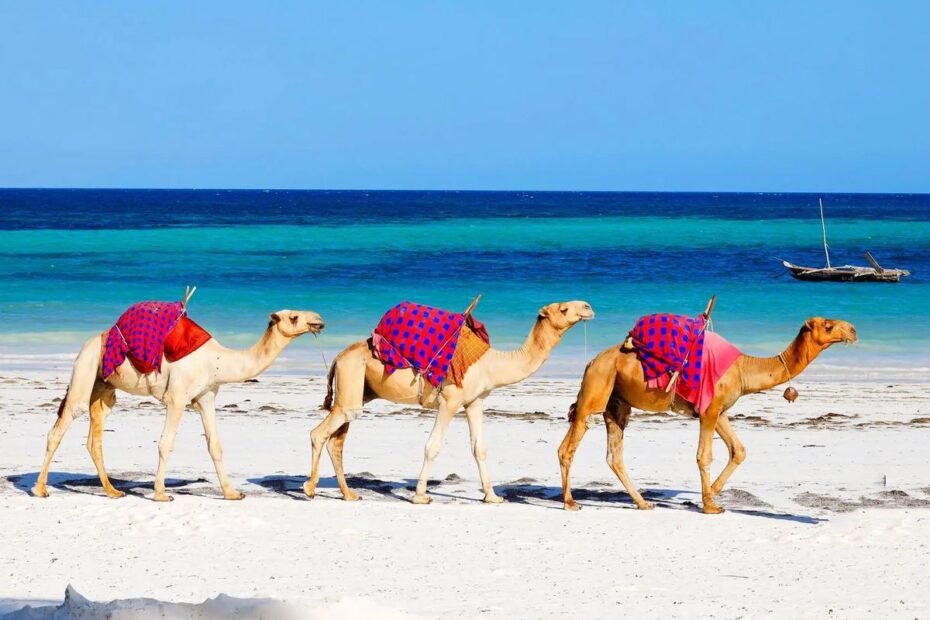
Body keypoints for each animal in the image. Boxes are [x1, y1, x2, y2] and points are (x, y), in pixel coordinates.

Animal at [32, 309, 324, 501]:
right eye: (294, 317)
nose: (319, 320)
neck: (217, 360)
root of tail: (90, 341)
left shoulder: (206, 397)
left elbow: (215, 446)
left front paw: (232, 493)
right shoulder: (177, 398)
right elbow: (165, 443)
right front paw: (161, 494)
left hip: (103, 386)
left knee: (95, 438)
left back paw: (112, 491)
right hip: (86, 368)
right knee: (62, 424)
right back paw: (40, 489)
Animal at [305, 300, 595, 504]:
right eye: (564, 308)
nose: (588, 307)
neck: (491, 364)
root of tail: (338, 357)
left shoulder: (475, 402)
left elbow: (479, 448)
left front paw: (492, 496)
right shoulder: (450, 400)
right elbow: (432, 446)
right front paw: (420, 495)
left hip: (357, 391)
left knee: (336, 441)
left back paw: (348, 494)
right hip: (351, 382)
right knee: (319, 433)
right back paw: (309, 488)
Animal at [558, 316, 857, 514]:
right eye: (828, 326)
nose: (853, 330)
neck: (744, 369)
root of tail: (590, 361)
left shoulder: (720, 410)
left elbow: (739, 450)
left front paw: (707, 495)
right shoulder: (709, 411)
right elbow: (704, 455)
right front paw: (710, 506)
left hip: (616, 402)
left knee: (614, 454)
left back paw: (643, 503)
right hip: (595, 390)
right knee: (569, 446)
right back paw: (571, 502)